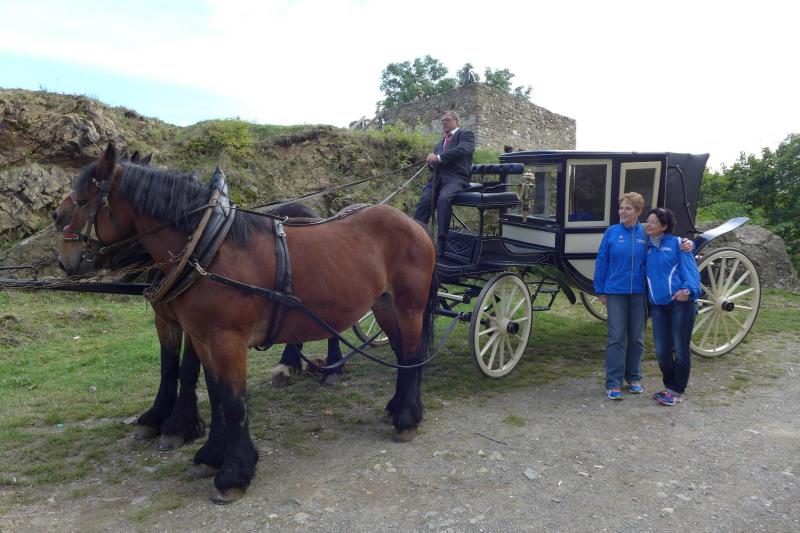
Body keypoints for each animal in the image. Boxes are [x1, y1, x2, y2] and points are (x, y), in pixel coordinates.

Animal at [52, 158, 345, 452]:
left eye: (82, 200)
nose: (57, 217)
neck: (195, 246)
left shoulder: (199, 322)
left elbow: (189, 368)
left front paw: (180, 424)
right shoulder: (166, 319)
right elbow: (168, 366)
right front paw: (156, 416)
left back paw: (333, 367)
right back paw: (288, 365)